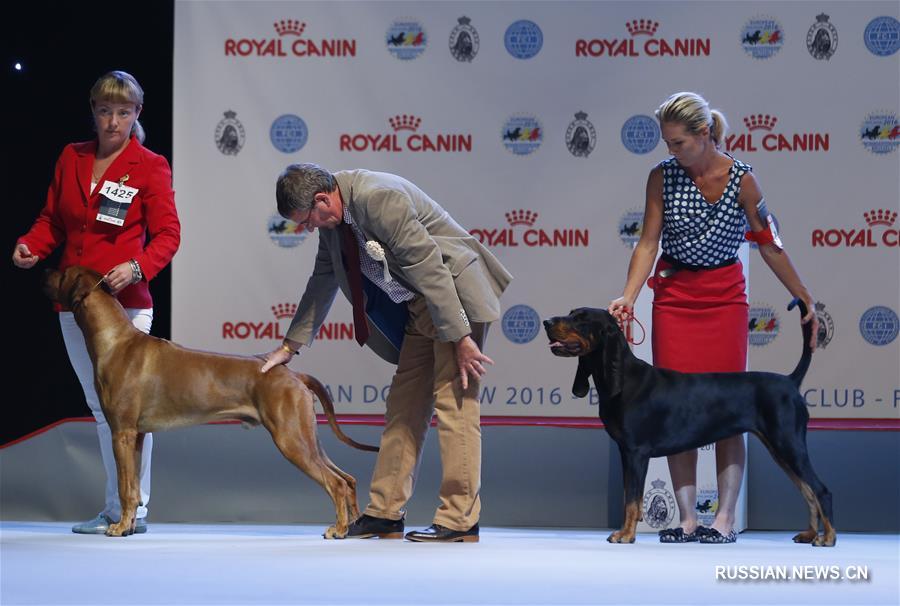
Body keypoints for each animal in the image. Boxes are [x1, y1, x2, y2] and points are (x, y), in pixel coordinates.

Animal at [44, 268, 376, 540]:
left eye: (62, 271)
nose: (43, 270)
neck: (114, 339)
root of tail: (292, 373)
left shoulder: (121, 433)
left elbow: (126, 488)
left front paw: (120, 527)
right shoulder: (136, 436)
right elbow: (134, 487)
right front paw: (129, 525)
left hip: (291, 440)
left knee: (335, 483)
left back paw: (339, 529)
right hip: (306, 437)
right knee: (347, 479)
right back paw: (353, 525)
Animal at [540, 302, 836, 548]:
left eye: (581, 319)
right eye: (570, 313)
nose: (546, 322)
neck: (622, 378)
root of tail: (790, 381)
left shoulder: (637, 453)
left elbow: (633, 500)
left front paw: (626, 535)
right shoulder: (626, 453)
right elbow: (629, 497)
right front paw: (625, 531)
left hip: (788, 443)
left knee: (821, 490)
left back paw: (827, 538)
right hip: (780, 449)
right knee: (808, 491)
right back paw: (810, 534)